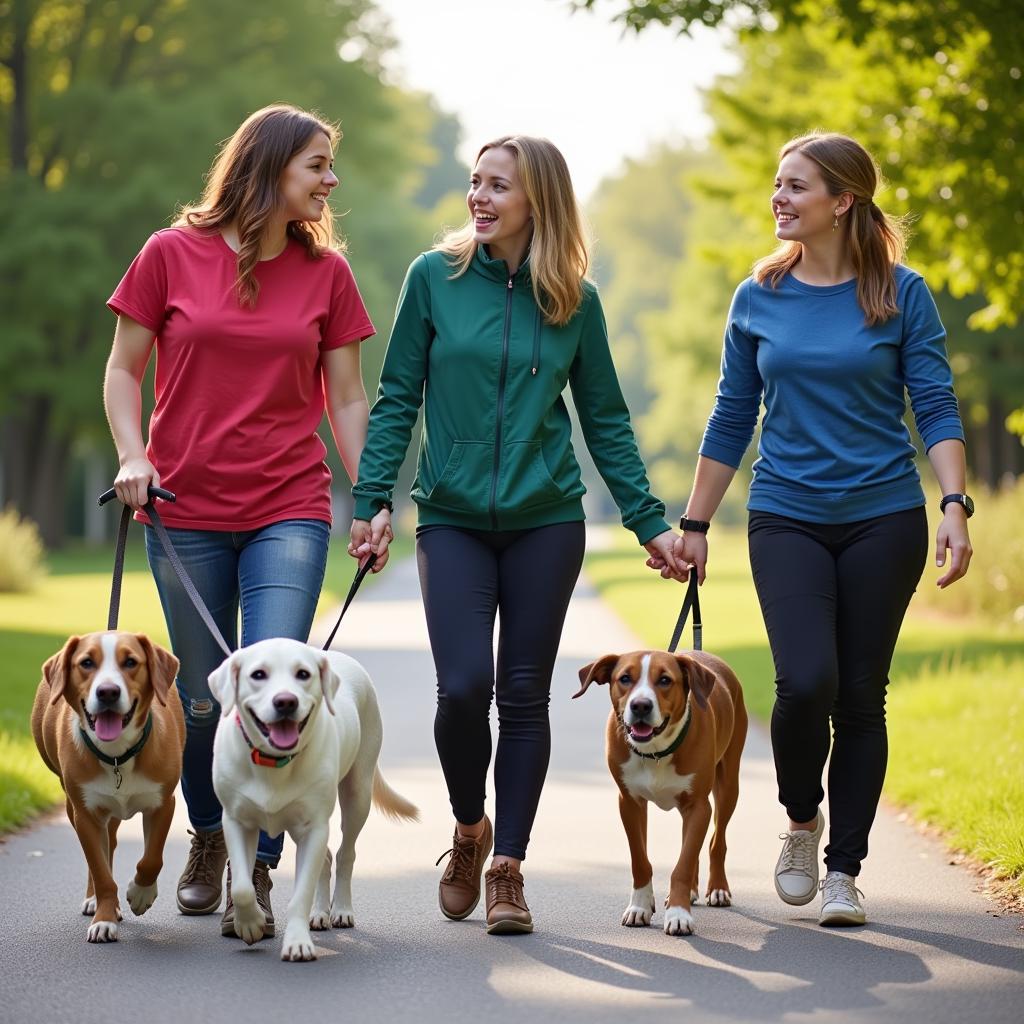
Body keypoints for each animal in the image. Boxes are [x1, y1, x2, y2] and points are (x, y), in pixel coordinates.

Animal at [29, 630, 186, 942]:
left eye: (131, 662)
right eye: (86, 663)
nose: (108, 692)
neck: (116, 755)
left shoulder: (163, 803)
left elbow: (152, 859)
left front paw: (140, 893)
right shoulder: (86, 814)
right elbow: (100, 870)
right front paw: (104, 917)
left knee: (112, 842)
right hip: (74, 804)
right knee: (101, 852)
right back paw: (97, 901)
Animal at [207, 638, 415, 958]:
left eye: (303, 674)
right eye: (258, 675)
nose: (285, 701)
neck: (274, 762)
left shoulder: (313, 827)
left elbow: (301, 893)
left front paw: (297, 941)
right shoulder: (236, 821)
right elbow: (242, 886)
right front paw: (249, 923)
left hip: (357, 794)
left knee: (344, 854)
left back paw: (340, 909)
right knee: (326, 858)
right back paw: (319, 914)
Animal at [577, 655, 745, 937]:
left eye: (665, 680)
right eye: (624, 678)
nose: (641, 705)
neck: (655, 751)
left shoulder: (698, 806)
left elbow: (683, 864)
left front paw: (678, 914)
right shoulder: (629, 803)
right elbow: (640, 860)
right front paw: (639, 907)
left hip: (729, 784)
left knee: (716, 840)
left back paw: (718, 889)